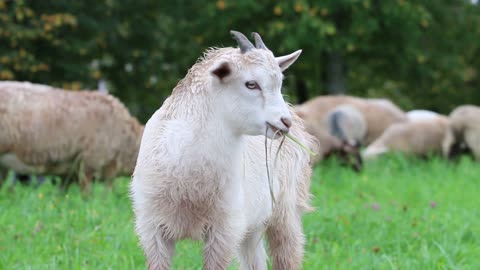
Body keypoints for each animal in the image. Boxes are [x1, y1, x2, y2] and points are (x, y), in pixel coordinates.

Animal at [129, 30, 316, 270]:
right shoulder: (151, 229)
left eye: (280, 84)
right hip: (252, 226)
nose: (285, 122)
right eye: (251, 84)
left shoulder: (224, 229)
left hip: (285, 212)